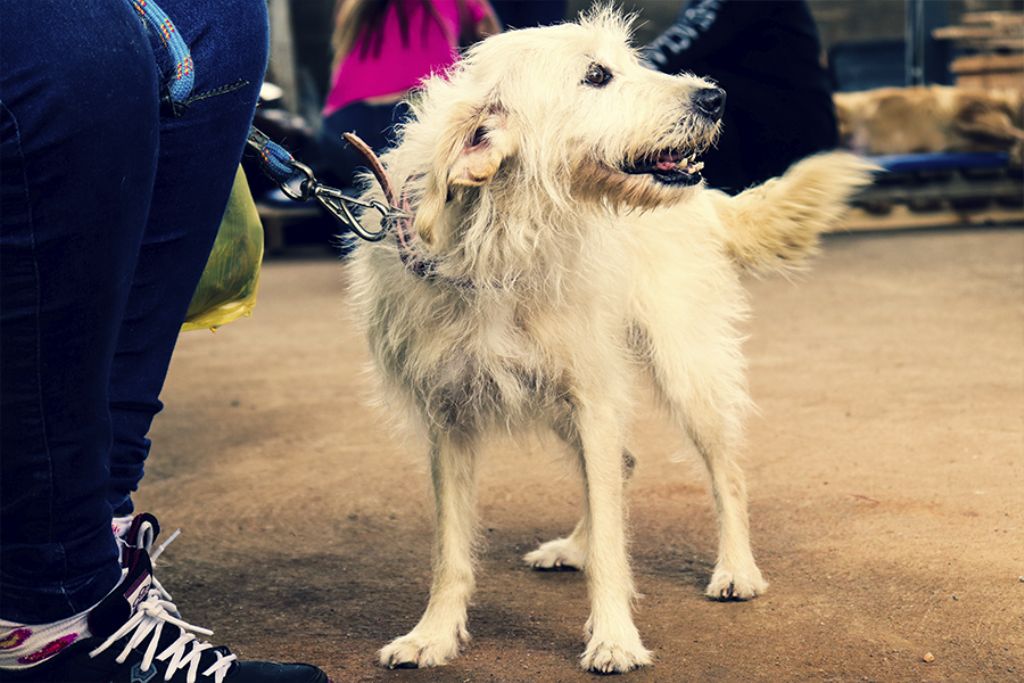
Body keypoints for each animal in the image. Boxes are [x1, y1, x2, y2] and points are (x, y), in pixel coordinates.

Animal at [346, 7, 872, 675]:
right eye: (597, 75)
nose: (713, 97)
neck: (501, 245)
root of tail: (705, 199)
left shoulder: (593, 397)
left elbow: (613, 548)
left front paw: (614, 638)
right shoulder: (449, 416)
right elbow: (451, 548)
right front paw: (432, 635)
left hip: (685, 371)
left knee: (725, 474)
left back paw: (736, 569)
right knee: (619, 469)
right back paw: (576, 545)